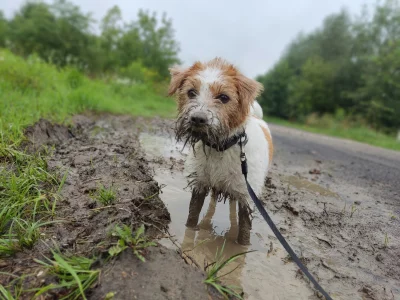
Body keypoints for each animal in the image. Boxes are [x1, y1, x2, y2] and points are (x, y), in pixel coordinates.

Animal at [167, 57, 274, 245]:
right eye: (191, 92)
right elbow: (192, 217)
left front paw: (241, 249)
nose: (198, 119)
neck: (220, 147)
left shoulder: (246, 195)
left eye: (224, 97)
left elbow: (244, 232)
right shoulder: (200, 183)